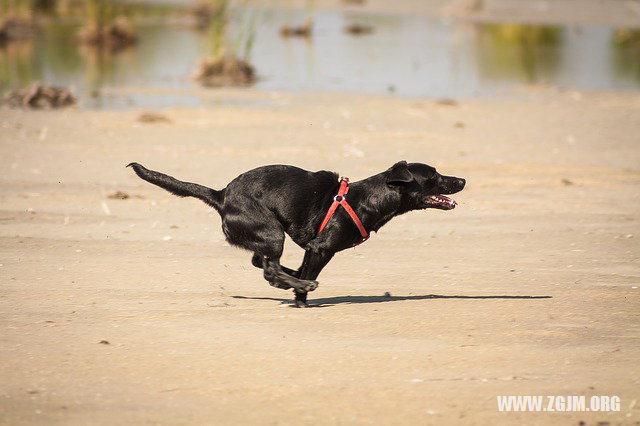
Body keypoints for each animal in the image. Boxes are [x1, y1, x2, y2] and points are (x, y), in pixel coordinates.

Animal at [127, 161, 464, 306]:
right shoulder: (321, 248)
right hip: (271, 231)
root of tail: (220, 195)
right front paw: (301, 299)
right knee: (269, 270)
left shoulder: (313, 249)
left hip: (265, 234)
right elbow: (305, 273)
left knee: (262, 263)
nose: (462, 180)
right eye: (434, 176)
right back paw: (301, 282)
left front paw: (299, 288)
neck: (367, 198)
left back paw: (295, 276)